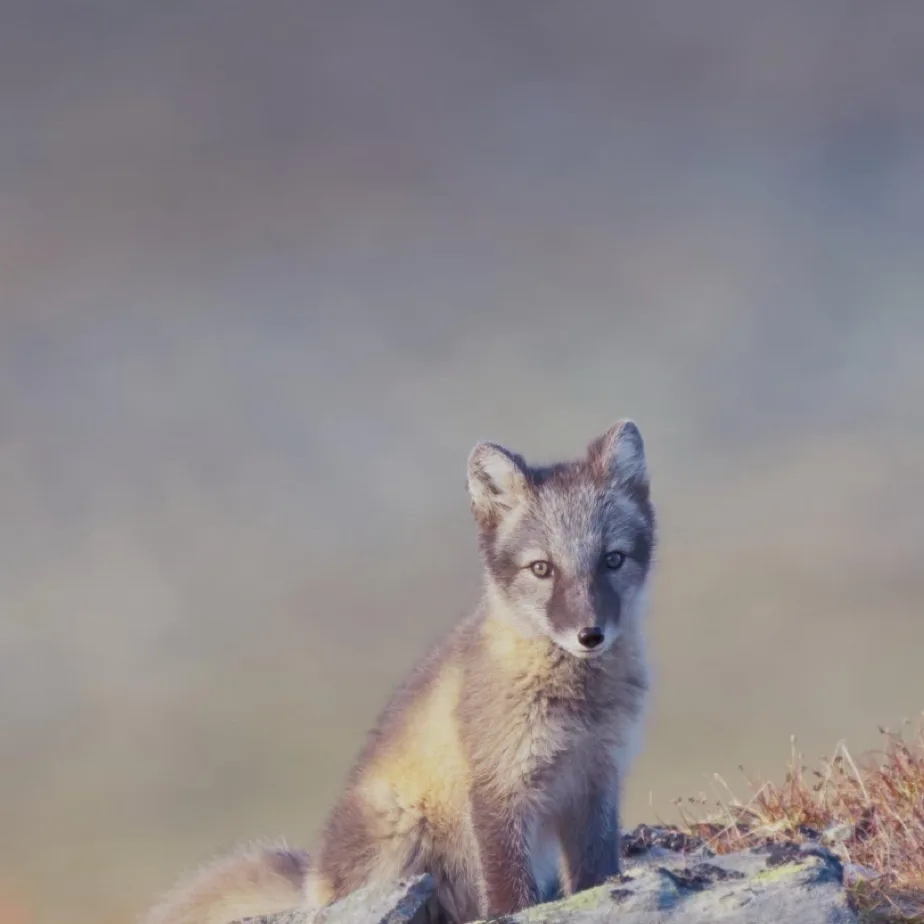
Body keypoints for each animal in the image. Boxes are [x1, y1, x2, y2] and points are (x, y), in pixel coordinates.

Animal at [142, 420, 656, 924]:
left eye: (612, 559)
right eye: (542, 568)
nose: (590, 635)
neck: (578, 705)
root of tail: (314, 882)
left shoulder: (598, 779)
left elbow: (596, 872)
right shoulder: (499, 786)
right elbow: (509, 892)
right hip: (403, 829)